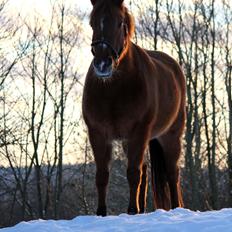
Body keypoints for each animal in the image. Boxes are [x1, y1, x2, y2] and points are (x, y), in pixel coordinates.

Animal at [82, 0, 186, 216]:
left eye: (120, 22)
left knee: (172, 172)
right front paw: (101, 213)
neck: (113, 90)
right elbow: (102, 175)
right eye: (92, 23)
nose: (103, 64)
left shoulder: (139, 132)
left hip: (170, 135)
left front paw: (131, 210)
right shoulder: (98, 134)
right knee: (145, 170)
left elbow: (132, 172)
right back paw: (141, 210)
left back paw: (174, 209)